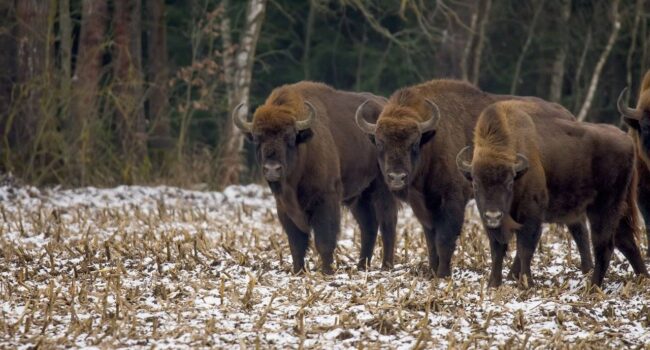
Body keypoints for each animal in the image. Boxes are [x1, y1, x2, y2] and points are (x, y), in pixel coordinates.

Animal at [230, 81, 398, 274]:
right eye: (258, 139)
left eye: (289, 137)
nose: (272, 169)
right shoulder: (284, 207)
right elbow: (296, 243)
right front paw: (298, 271)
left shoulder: (326, 200)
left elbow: (324, 240)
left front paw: (327, 272)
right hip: (359, 196)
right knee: (368, 226)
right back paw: (361, 266)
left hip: (383, 188)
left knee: (388, 223)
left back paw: (386, 266)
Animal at [354, 80, 592, 278]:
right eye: (380, 142)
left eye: (413, 143)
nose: (396, 177)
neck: (432, 140)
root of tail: (571, 117)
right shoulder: (423, 205)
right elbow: (430, 240)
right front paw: (432, 272)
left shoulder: (453, 200)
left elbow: (444, 238)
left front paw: (443, 274)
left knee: (577, 227)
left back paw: (586, 269)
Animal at [456, 100, 648, 288]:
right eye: (476, 184)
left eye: (509, 182)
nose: (493, 215)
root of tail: (627, 140)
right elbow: (497, 250)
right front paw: (493, 285)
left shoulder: (531, 215)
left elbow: (525, 249)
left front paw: (527, 284)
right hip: (617, 208)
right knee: (625, 241)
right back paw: (642, 278)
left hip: (603, 208)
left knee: (604, 244)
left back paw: (592, 288)